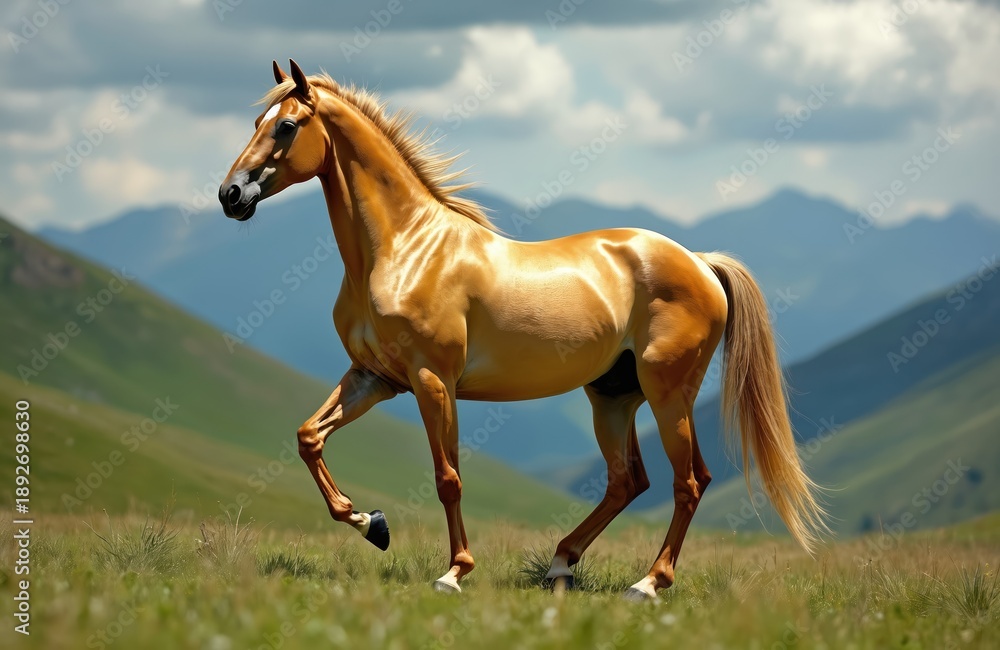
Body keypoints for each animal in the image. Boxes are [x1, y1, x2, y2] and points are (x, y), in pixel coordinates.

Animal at [219, 60, 827, 600]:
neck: (405, 249)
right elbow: (309, 437)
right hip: (613, 396)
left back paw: (648, 584)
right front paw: (372, 523)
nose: (231, 196)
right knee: (628, 480)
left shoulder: (432, 380)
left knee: (689, 482)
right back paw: (561, 564)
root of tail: (700, 263)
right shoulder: (374, 377)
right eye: (255, 122)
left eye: (286, 126)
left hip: (667, 392)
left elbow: (447, 478)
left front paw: (454, 572)